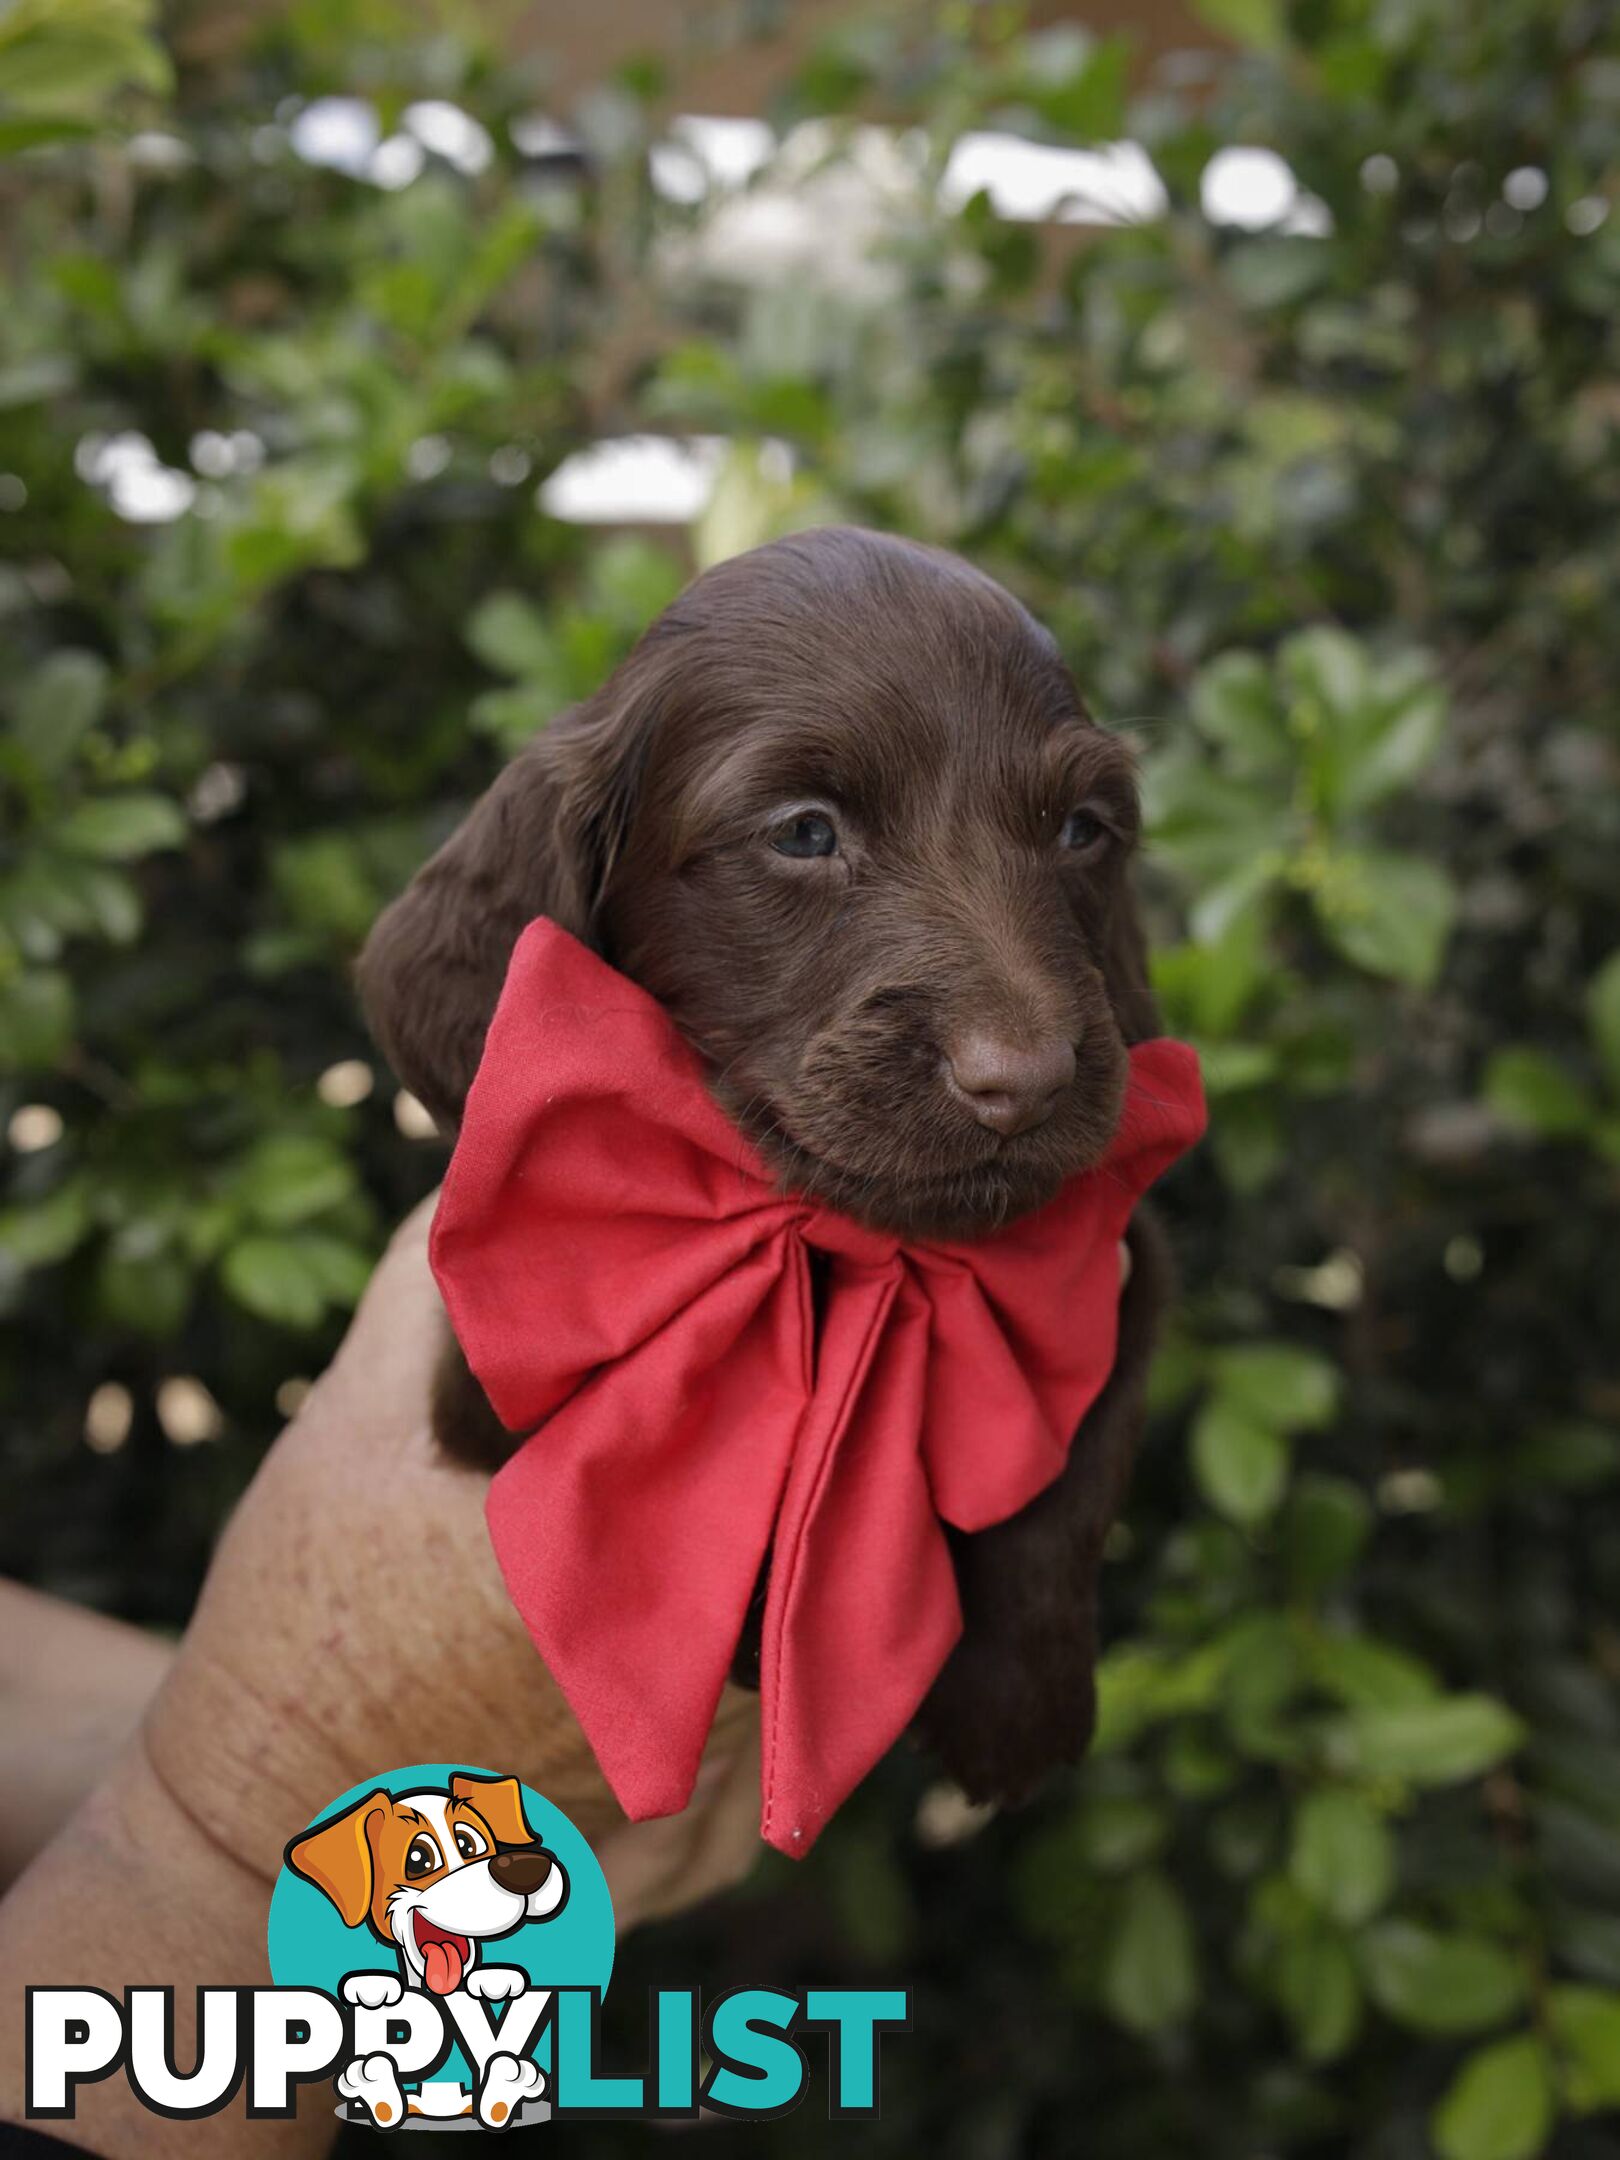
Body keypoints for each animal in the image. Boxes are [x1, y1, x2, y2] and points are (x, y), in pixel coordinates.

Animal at [360, 522, 1183, 1805]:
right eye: (803, 831)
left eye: (1082, 829)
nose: (1028, 1079)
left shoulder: (1116, 1264)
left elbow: (1077, 1469)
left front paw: (1022, 1708)